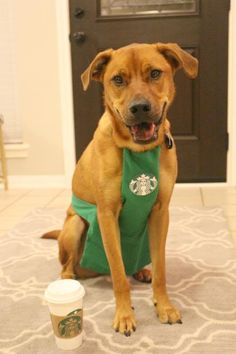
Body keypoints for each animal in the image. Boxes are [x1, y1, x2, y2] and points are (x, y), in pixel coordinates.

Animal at [43, 42, 198, 336]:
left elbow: (161, 271)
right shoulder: (106, 215)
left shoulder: (160, 212)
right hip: (75, 226)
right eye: (117, 79)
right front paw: (125, 315)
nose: (140, 108)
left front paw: (164, 305)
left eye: (155, 73)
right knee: (67, 263)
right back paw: (68, 278)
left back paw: (141, 271)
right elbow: (117, 274)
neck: (137, 150)